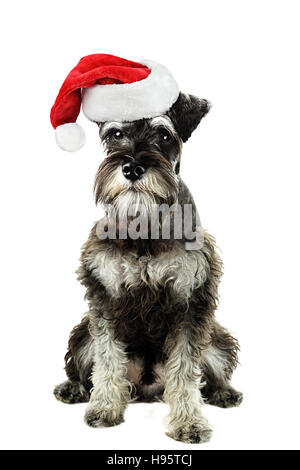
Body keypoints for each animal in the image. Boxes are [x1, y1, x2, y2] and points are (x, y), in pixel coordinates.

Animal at [53, 92, 241, 444]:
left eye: (164, 135)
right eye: (115, 134)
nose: (132, 167)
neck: (145, 225)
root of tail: (147, 385)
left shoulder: (190, 300)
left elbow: (186, 372)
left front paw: (189, 423)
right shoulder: (105, 297)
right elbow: (107, 359)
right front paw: (104, 409)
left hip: (217, 340)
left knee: (211, 375)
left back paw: (225, 392)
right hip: (82, 334)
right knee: (84, 368)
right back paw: (73, 388)